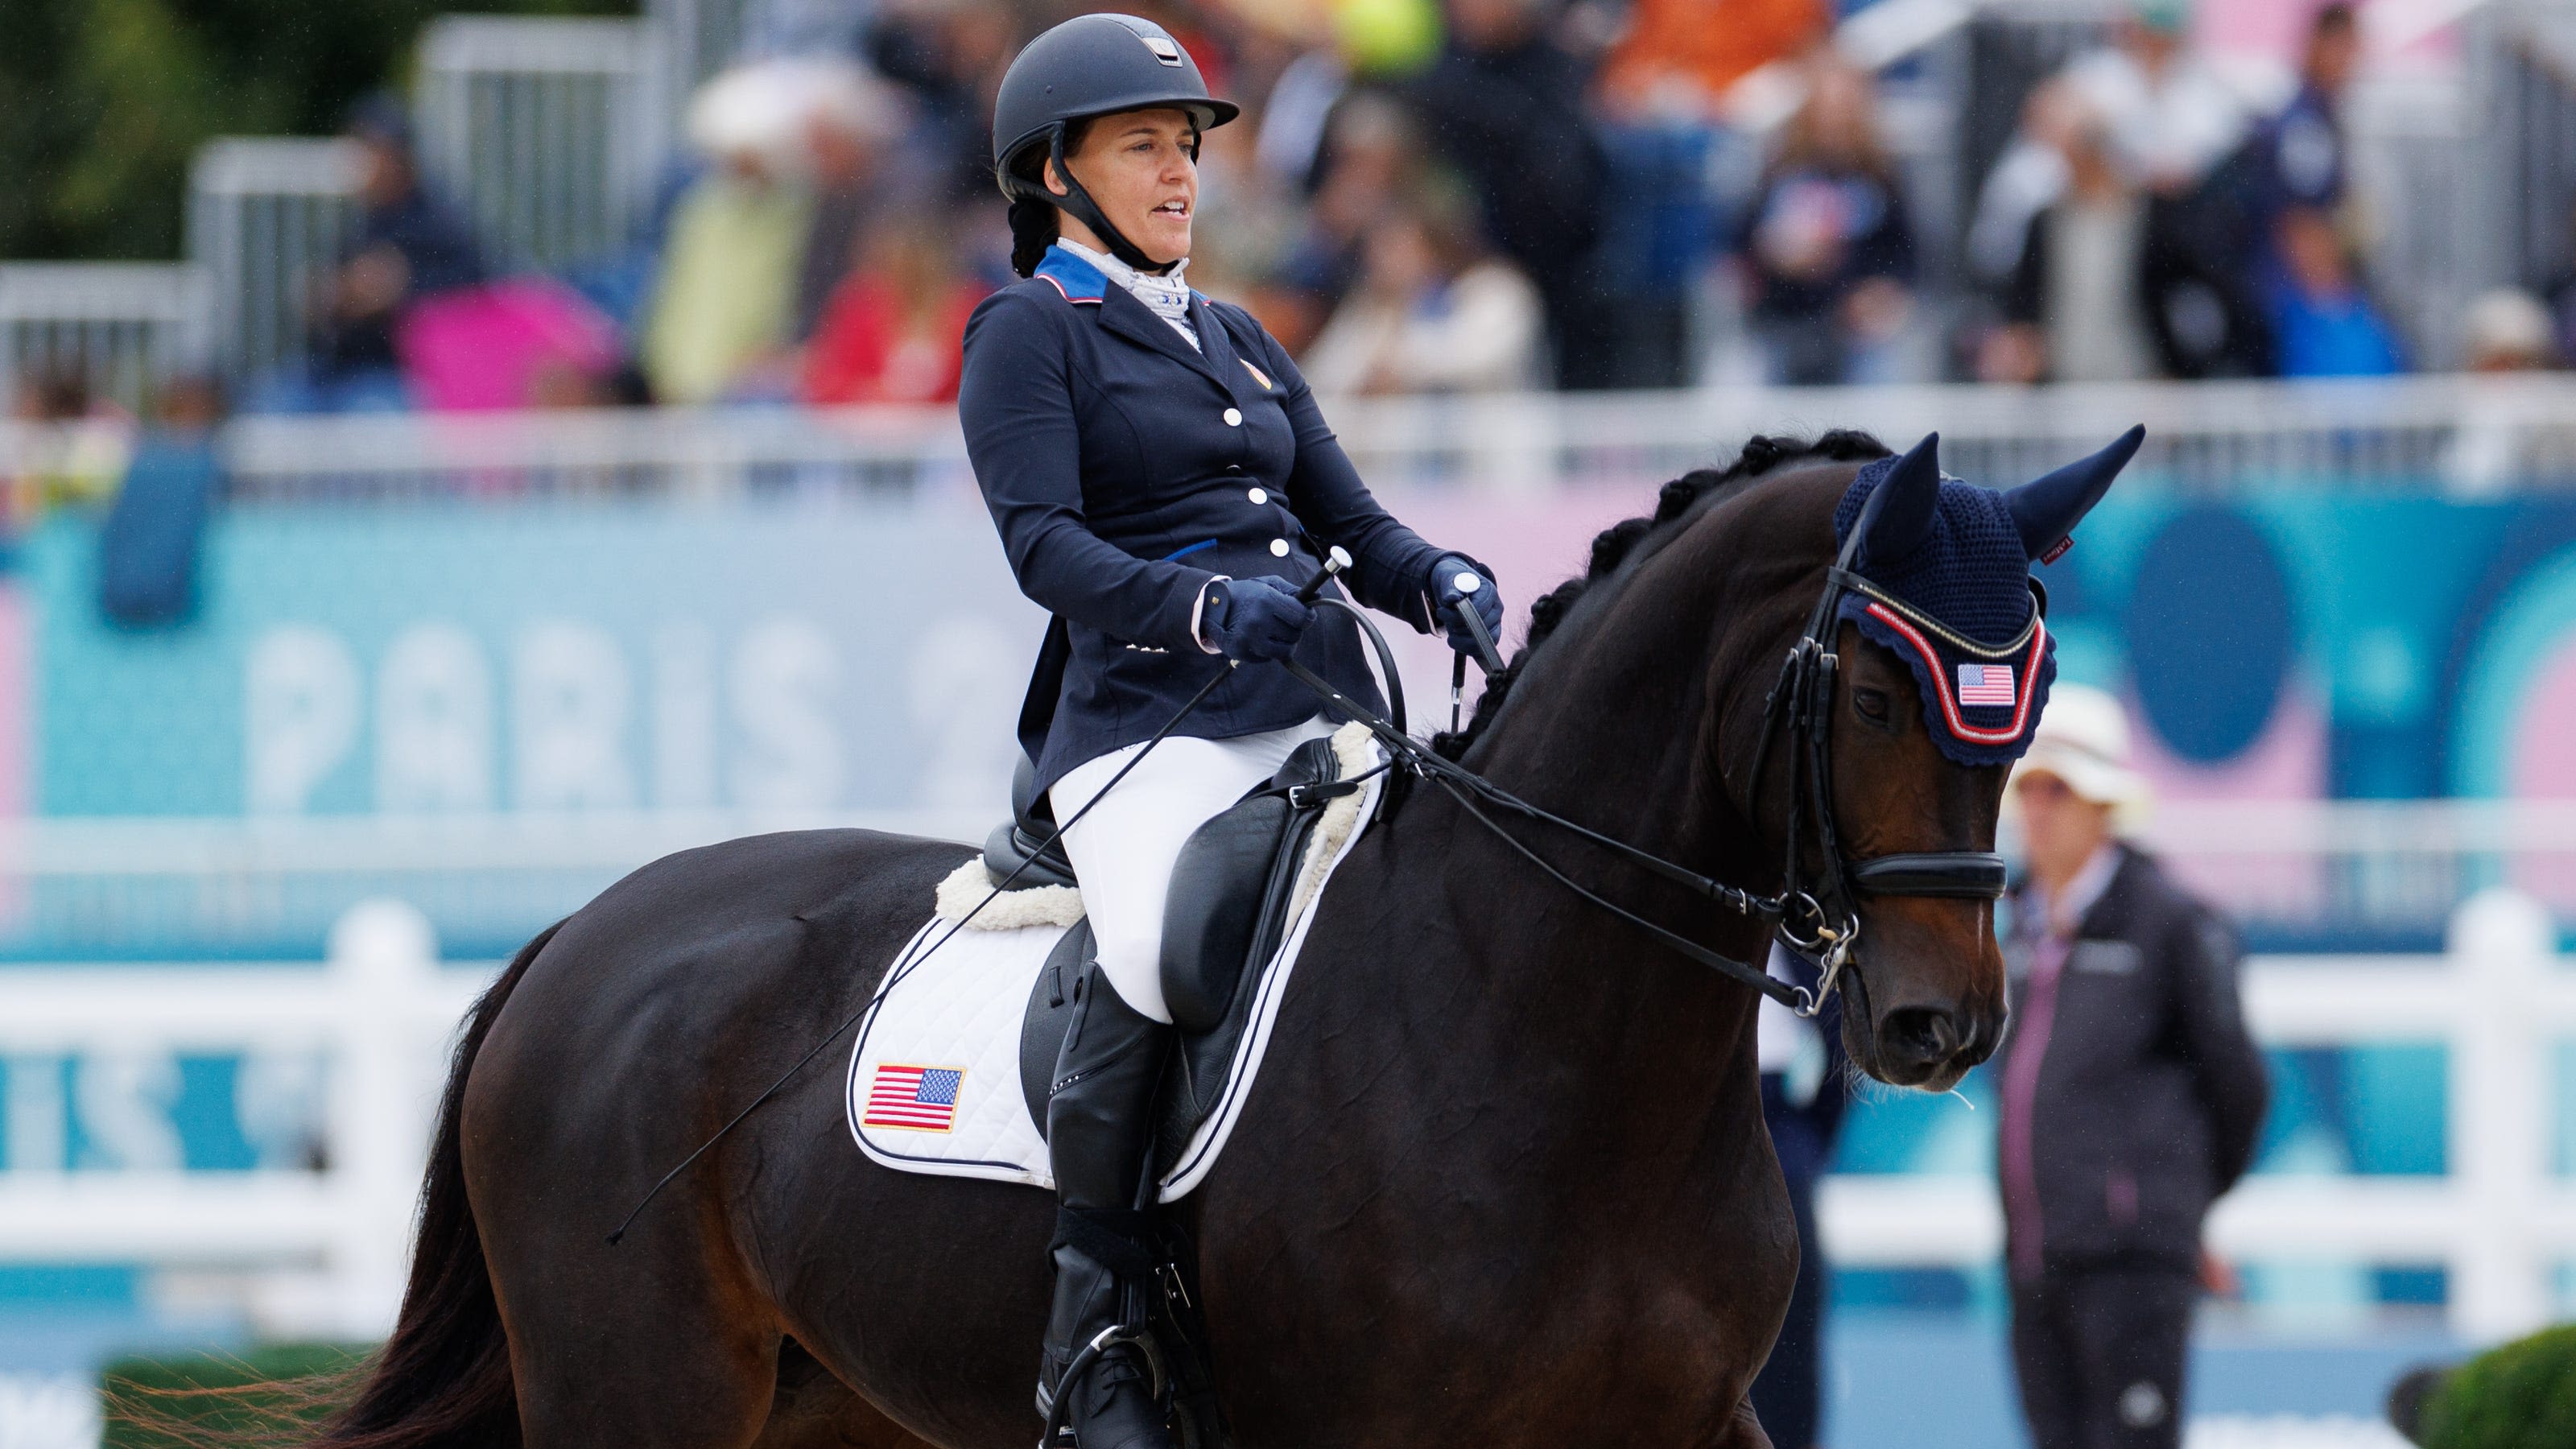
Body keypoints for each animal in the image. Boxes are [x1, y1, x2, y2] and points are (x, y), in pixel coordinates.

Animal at [292, 427, 2122, 1443]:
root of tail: (582, 934)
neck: (1546, 1021)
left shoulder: (1684, 1419)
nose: (1940, 1028)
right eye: (1874, 692)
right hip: (641, 1391)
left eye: (2025, 700)